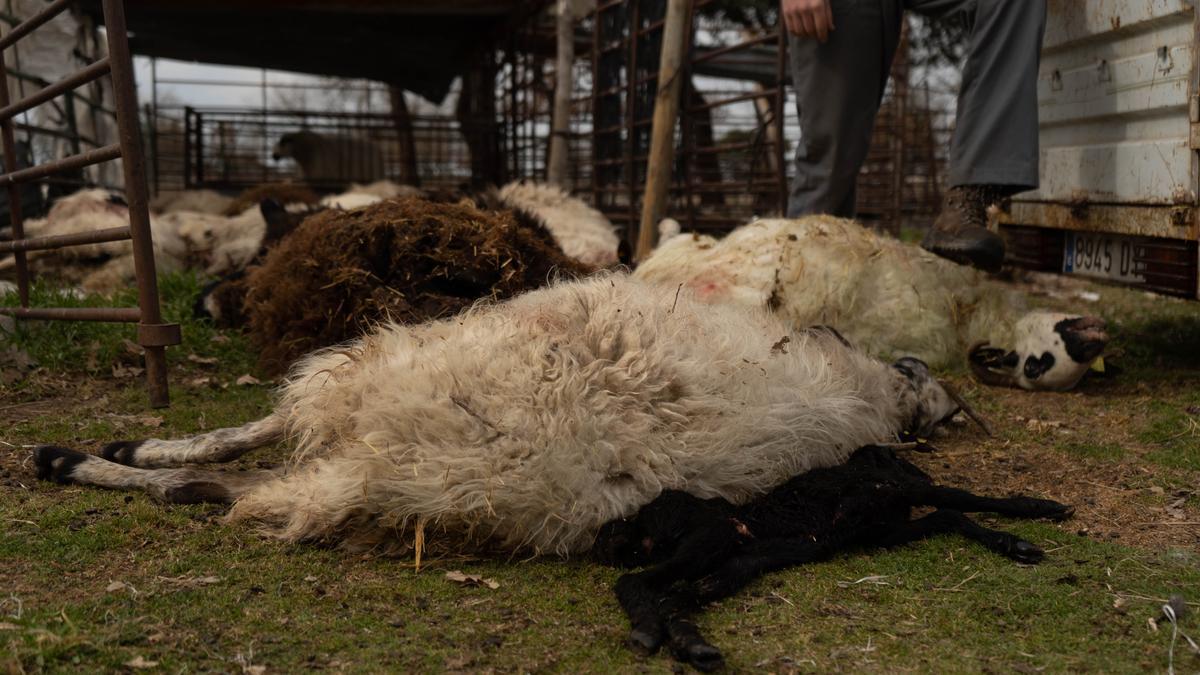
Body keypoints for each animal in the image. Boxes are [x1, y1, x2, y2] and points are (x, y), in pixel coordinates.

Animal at [595, 441, 1075, 667]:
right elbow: (963, 499)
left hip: (737, 559)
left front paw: (1014, 543)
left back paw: (690, 645)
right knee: (639, 581)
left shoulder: (886, 531)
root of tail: (637, 523)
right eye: (897, 459)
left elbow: (951, 516)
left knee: (676, 593)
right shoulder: (901, 493)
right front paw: (1040, 510)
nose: (917, 470)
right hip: (713, 536)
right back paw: (651, 634)